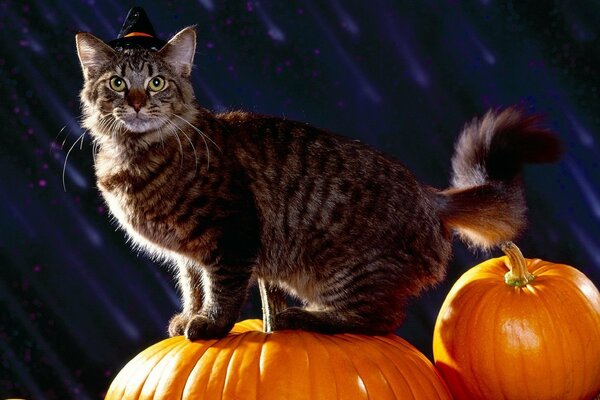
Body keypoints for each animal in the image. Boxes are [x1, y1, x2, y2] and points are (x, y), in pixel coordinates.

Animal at [76, 26, 564, 340]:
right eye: (117, 83)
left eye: (157, 83)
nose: (136, 102)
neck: (135, 154)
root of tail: (432, 197)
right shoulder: (190, 254)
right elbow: (194, 287)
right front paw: (188, 317)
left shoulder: (231, 235)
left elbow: (223, 290)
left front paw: (211, 326)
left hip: (345, 272)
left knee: (377, 323)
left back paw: (300, 319)